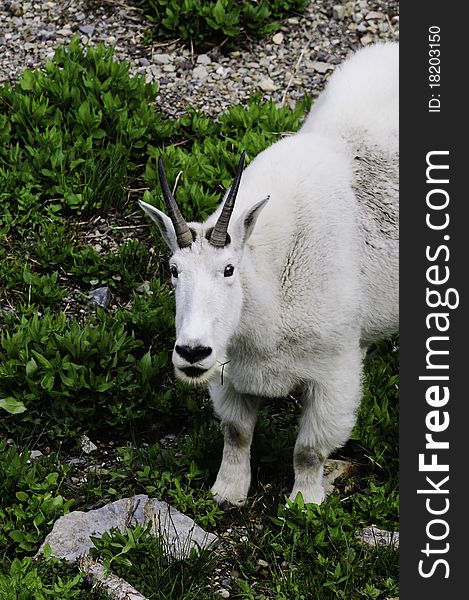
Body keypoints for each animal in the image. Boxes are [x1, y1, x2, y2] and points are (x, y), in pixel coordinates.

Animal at [140, 41, 398, 506]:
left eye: (229, 269)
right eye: (173, 270)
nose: (192, 352)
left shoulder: (333, 373)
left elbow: (309, 449)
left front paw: (304, 505)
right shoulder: (229, 370)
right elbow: (236, 432)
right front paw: (227, 493)